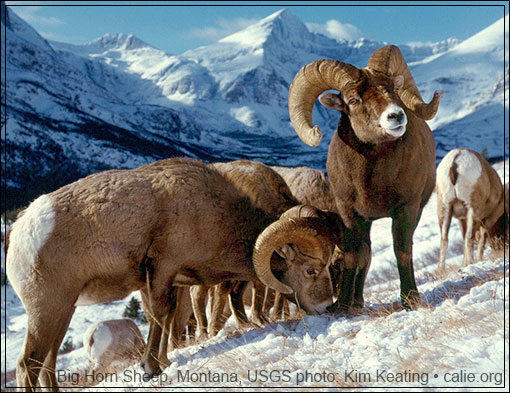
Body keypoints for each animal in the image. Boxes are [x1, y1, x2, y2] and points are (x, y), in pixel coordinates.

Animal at [5, 157, 338, 388]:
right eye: (311, 270)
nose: (328, 306)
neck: (212, 213)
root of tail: (21, 230)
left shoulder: (173, 280)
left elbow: (168, 319)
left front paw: (162, 361)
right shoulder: (162, 270)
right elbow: (160, 315)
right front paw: (151, 368)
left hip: (64, 311)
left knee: (46, 365)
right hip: (47, 308)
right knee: (27, 365)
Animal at [286, 44, 442, 310]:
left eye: (392, 90)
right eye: (353, 100)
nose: (396, 116)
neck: (372, 182)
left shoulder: (406, 209)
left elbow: (402, 251)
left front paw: (410, 300)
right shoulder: (350, 214)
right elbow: (353, 256)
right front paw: (343, 307)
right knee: (365, 254)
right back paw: (356, 302)